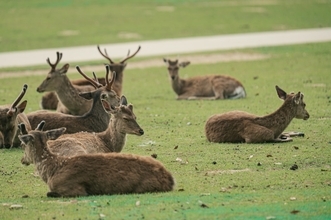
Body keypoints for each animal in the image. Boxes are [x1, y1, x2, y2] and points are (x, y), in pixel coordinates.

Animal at [17, 120, 175, 198]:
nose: (22, 160)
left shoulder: (74, 189)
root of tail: (170, 179)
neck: (51, 171)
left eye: (23, 144)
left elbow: (50, 193)